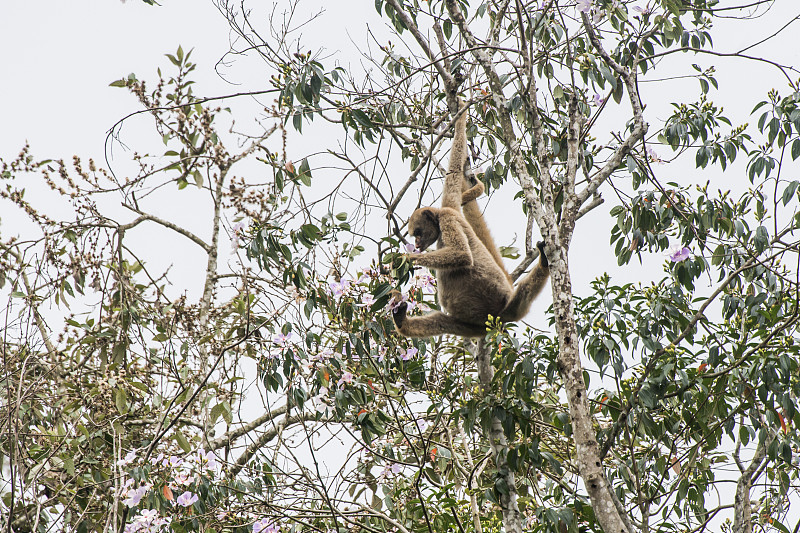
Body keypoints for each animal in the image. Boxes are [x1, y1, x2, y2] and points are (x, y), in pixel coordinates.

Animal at [392, 102, 552, 336]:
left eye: (418, 233)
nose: (418, 244)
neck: (439, 218)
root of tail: (493, 320)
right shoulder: (450, 205)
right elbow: (457, 176)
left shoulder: (448, 216)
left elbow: (462, 255)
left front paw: (406, 259)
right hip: (471, 326)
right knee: (442, 320)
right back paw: (402, 322)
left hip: (504, 307)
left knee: (521, 297)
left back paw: (544, 263)